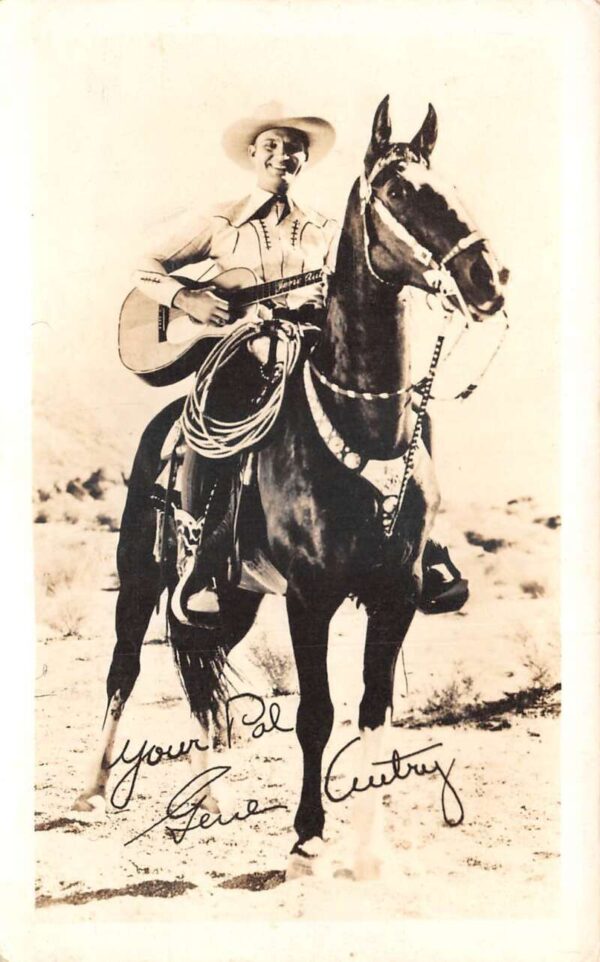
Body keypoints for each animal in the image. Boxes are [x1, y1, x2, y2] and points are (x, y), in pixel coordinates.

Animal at [74, 99, 506, 876]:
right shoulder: (310, 595)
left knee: (203, 669)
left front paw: (369, 848)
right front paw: (307, 838)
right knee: (124, 667)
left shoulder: (396, 594)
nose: (488, 277)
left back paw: (208, 793)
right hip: (141, 576)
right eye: (399, 191)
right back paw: (93, 789)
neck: (366, 426)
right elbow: (316, 713)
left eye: (450, 185)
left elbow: (373, 711)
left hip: (232, 593)